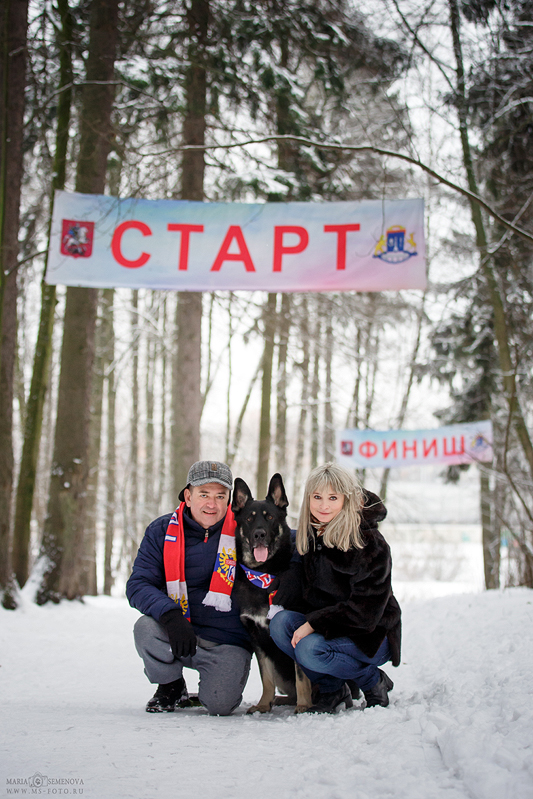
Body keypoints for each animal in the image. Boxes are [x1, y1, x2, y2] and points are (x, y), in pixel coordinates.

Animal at [231, 473, 312, 714]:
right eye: (249, 519)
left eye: (269, 517)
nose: (260, 534)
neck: (263, 572)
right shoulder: (257, 639)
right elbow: (265, 677)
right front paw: (263, 703)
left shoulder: (297, 630)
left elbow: (301, 674)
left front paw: (304, 705)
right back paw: (281, 699)